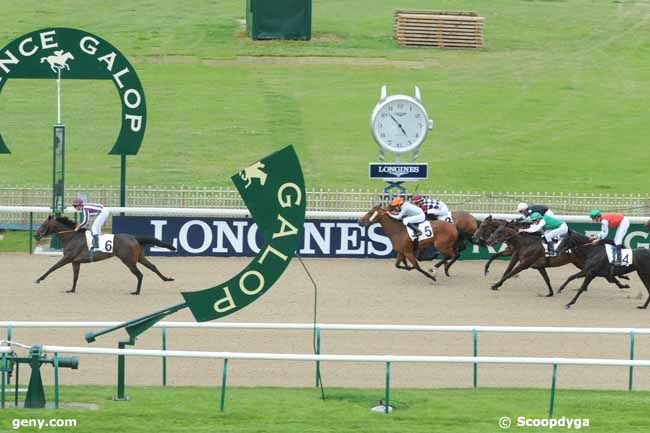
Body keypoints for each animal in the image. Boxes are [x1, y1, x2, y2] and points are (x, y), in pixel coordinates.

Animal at [33, 215, 175, 294]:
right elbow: (75, 277)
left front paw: (39, 279)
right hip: (139, 257)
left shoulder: (67, 258)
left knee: (139, 274)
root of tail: (134, 237)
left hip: (128, 260)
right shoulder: (75, 261)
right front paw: (71, 290)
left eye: (43, 225)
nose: (35, 235)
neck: (71, 236)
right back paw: (167, 279)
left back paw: (136, 292)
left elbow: (53, 268)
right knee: (152, 266)